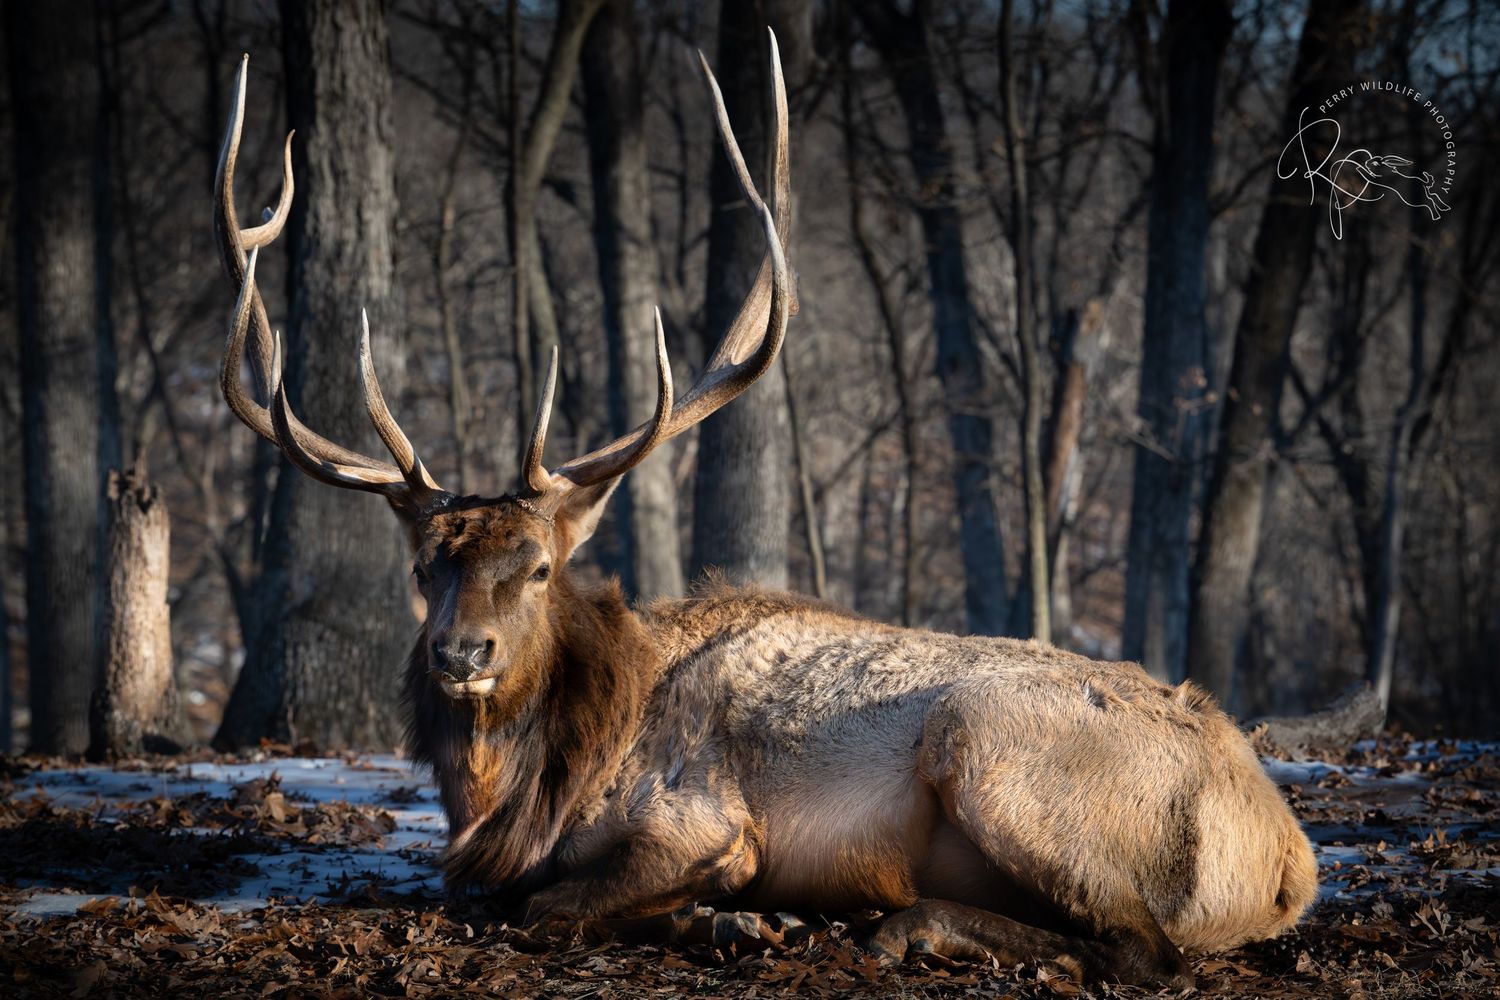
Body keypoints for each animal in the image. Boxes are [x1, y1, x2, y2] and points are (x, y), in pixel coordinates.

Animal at [214, 37, 1316, 988]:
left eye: (538, 565)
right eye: (424, 565)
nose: (461, 651)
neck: (532, 789)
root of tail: (1288, 858)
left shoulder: (703, 819)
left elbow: (542, 906)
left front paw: (740, 915)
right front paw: (730, 923)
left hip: (989, 746)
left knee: (1144, 947)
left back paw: (909, 928)